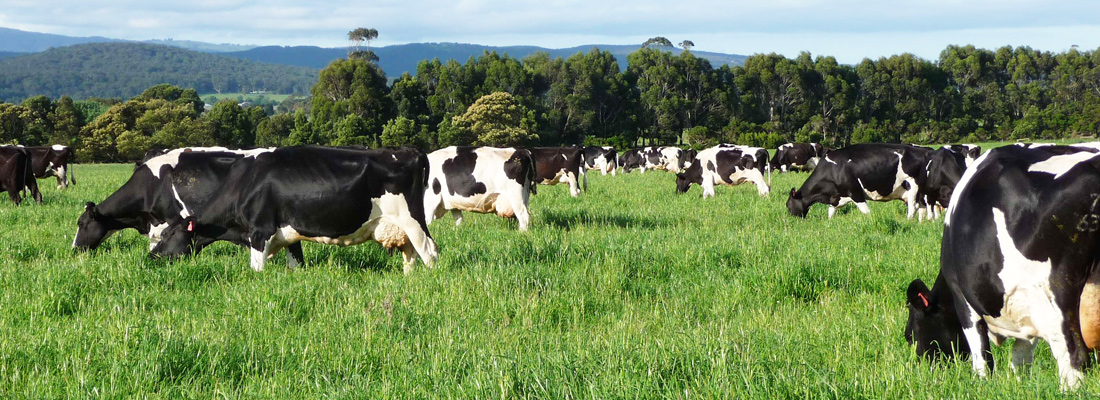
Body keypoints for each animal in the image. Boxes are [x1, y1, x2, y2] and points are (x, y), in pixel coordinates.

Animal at [147, 146, 437, 274]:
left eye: (166, 235)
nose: (151, 258)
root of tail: (410, 151)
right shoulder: (289, 233)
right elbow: (297, 264)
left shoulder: (259, 231)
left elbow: (257, 269)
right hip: (400, 227)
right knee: (410, 255)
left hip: (413, 220)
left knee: (429, 251)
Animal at [787, 142, 932, 218]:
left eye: (788, 205)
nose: (792, 219)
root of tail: (926, 151)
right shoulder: (837, 197)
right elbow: (830, 213)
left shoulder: (855, 193)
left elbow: (866, 212)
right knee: (923, 208)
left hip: (913, 187)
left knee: (913, 208)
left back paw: (909, 221)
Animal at [902, 141, 1100, 389]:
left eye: (911, 334)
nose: (927, 370)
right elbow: (1020, 357)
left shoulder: (963, 299)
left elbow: (981, 357)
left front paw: (981, 385)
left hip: (1058, 292)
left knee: (1074, 355)